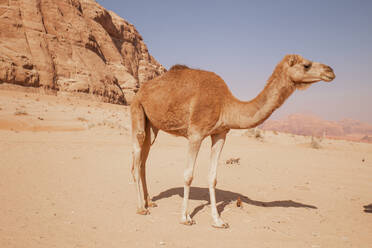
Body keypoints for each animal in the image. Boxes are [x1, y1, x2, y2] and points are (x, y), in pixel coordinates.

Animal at [129, 54, 336, 229]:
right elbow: (188, 175)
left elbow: (213, 177)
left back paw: (150, 201)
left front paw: (218, 221)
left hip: (153, 126)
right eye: (306, 65)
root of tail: (140, 90)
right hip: (137, 110)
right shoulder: (195, 133)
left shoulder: (220, 134)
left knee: (143, 161)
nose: (330, 71)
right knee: (136, 160)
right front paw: (185, 218)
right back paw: (141, 208)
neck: (226, 104)